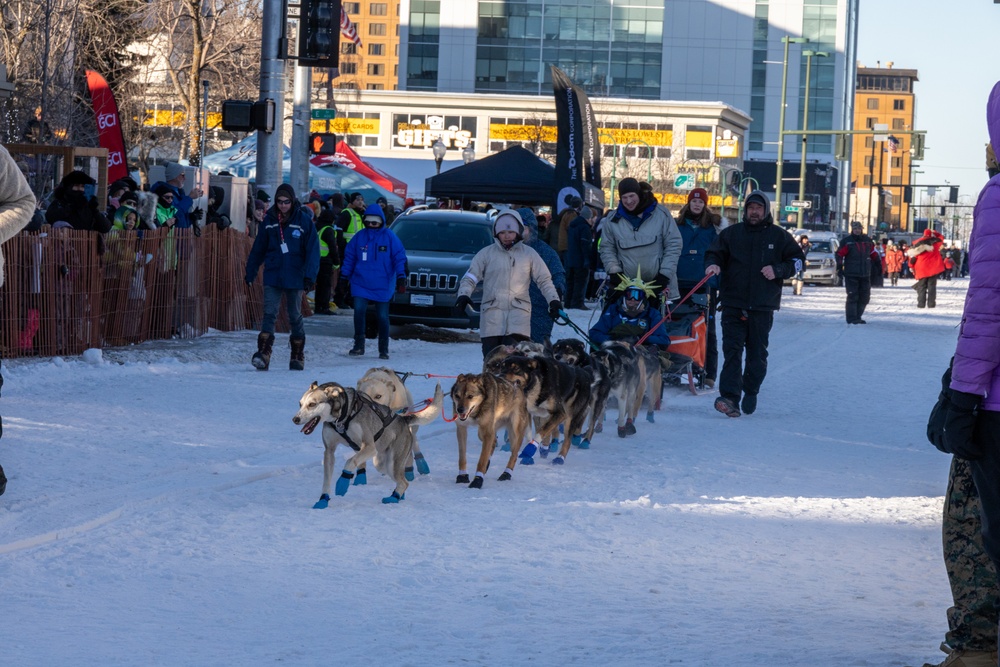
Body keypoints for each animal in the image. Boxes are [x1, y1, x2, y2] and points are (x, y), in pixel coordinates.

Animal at [292, 380, 442, 506]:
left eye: (312, 404)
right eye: (300, 404)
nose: (295, 419)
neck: (342, 418)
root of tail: (403, 419)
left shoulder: (369, 447)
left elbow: (350, 462)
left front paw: (343, 482)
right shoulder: (329, 450)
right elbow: (326, 479)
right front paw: (323, 500)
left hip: (390, 463)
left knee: (404, 482)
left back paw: (394, 497)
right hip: (381, 463)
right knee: (400, 479)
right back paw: (398, 495)